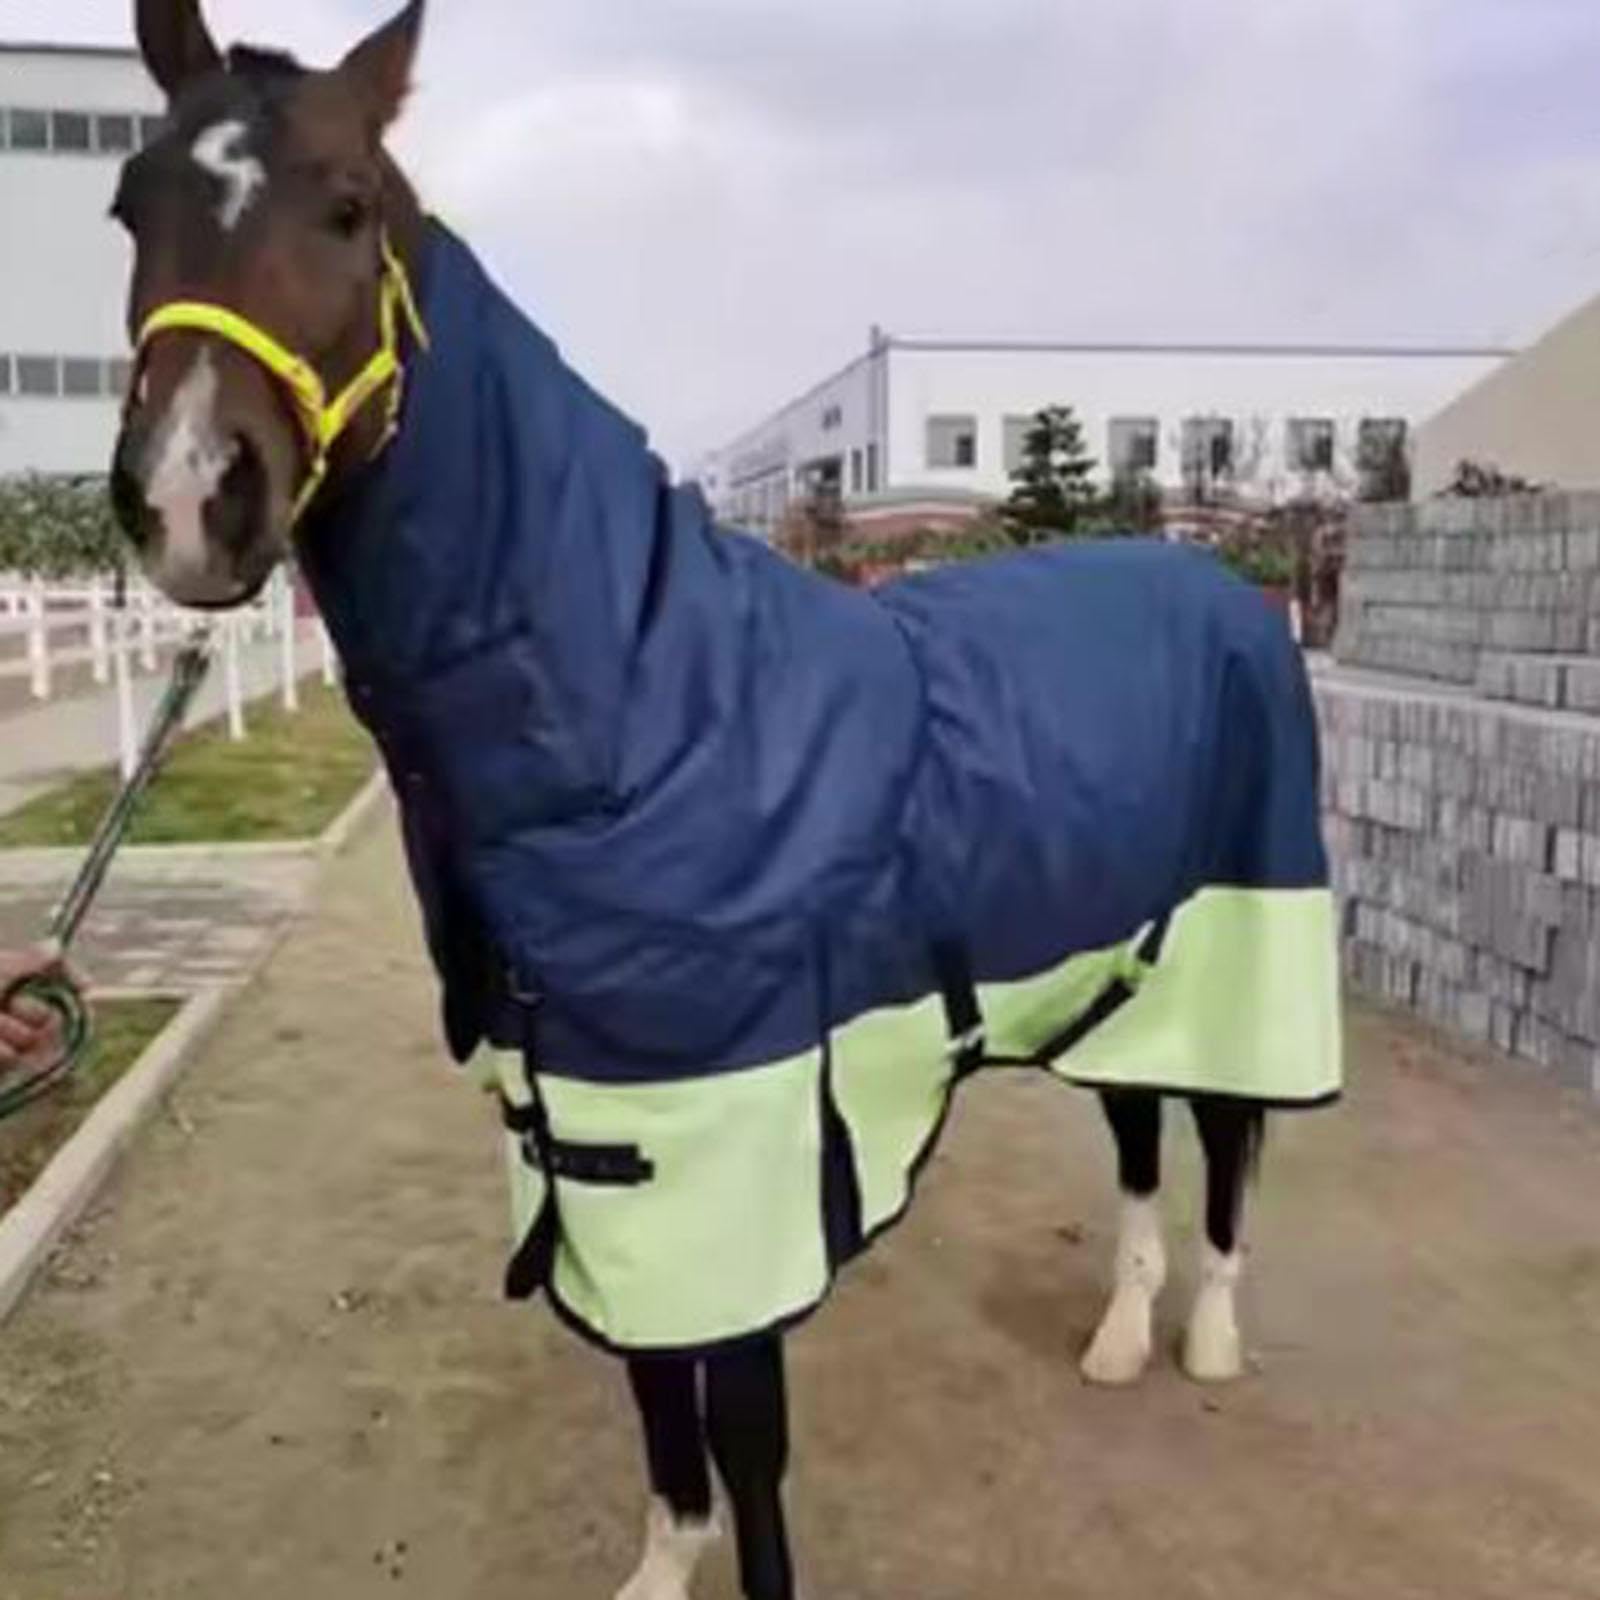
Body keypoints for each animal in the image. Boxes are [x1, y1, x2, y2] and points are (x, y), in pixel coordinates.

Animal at [109, 5, 1342, 1596]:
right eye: (131, 206)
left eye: (346, 206)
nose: (189, 499)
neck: (648, 703)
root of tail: (1228, 586)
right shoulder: (590, 1141)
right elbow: (654, 1398)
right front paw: (659, 1566)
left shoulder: (737, 1139)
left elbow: (743, 1431)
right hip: (1118, 966)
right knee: (1135, 1134)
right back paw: (1124, 1338)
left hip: (1235, 946)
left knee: (1223, 1139)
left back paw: (1210, 1337)